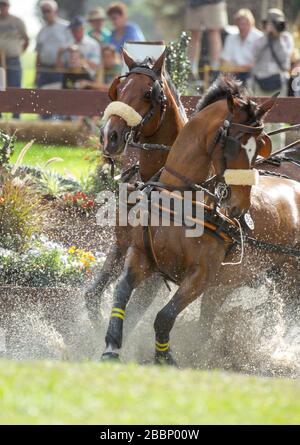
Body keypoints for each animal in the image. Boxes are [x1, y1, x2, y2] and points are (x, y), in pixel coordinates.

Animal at [85, 49, 188, 326]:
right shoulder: (122, 245)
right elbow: (92, 295)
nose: (109, 136)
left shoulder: (157, 268)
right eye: (119, 90)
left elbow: (134, 313)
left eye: (147, 94)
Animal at [101, 76, 300, 366]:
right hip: (230, 284)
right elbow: (122, 291)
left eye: (256, 150)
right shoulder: (141, 255)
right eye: (234, 143)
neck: (179, 199)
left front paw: (165, 357)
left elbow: (164, 316)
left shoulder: (201, 275)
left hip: (288, 278)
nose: (239, 206)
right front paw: (111, 346)